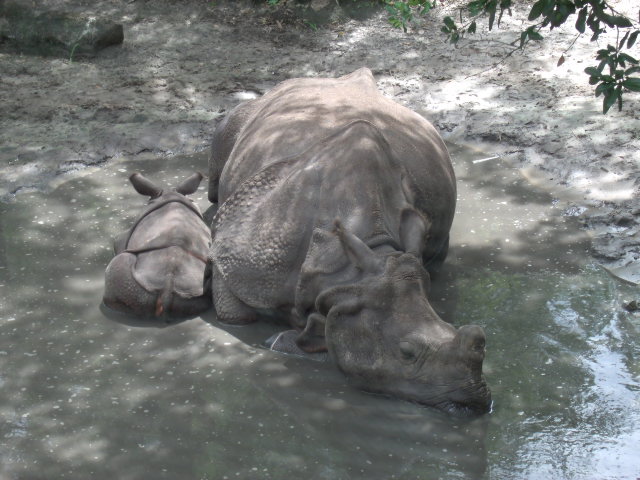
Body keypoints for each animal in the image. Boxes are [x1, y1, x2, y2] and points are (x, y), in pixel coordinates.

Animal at [208, 68, 491, 415]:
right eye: (406, 353)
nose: (475, 399)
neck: (350, 270)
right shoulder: (237, 246)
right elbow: (235, 313)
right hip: (251, 118)